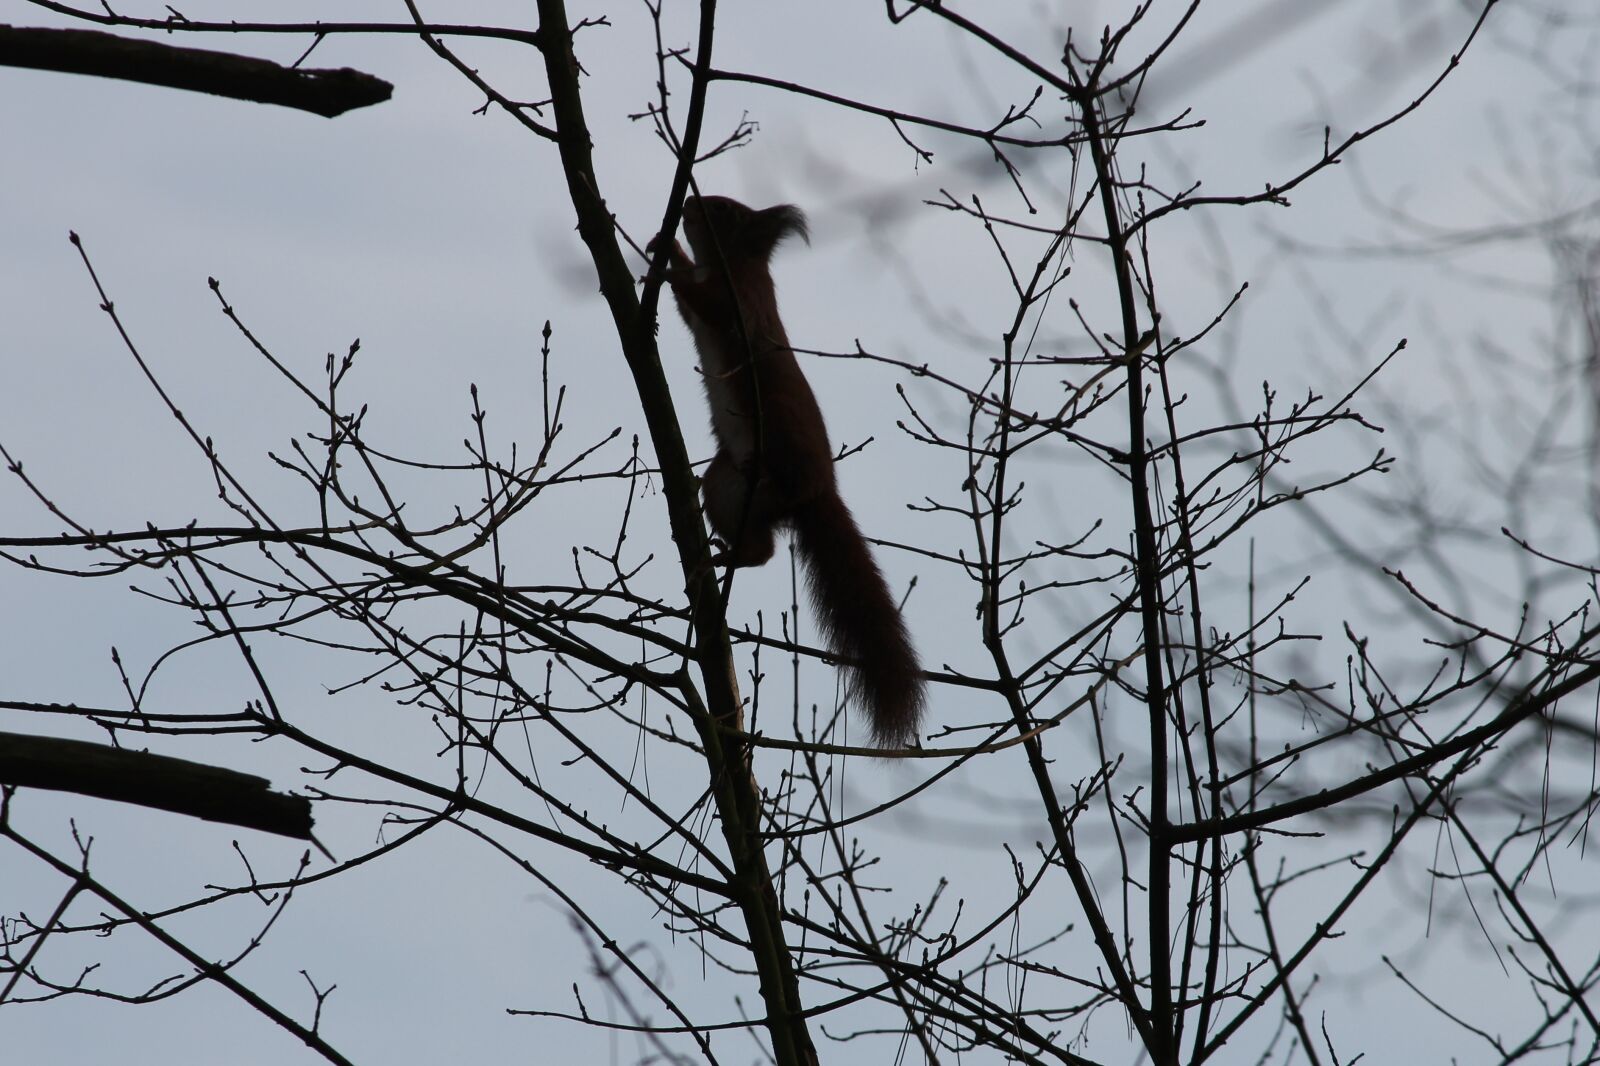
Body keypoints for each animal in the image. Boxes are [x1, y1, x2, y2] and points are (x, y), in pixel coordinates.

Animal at [654, 195, 925, 748]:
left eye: (723, 209)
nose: (689, 202)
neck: (730, 264)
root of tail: (820, 491)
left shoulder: (742, 301)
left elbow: (707, 305)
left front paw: (666, 257)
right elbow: (691, 311)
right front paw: (665, 249)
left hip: (776, 446)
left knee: (769, 538)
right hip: (726, 486)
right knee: (762, 545)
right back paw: (727, 555)